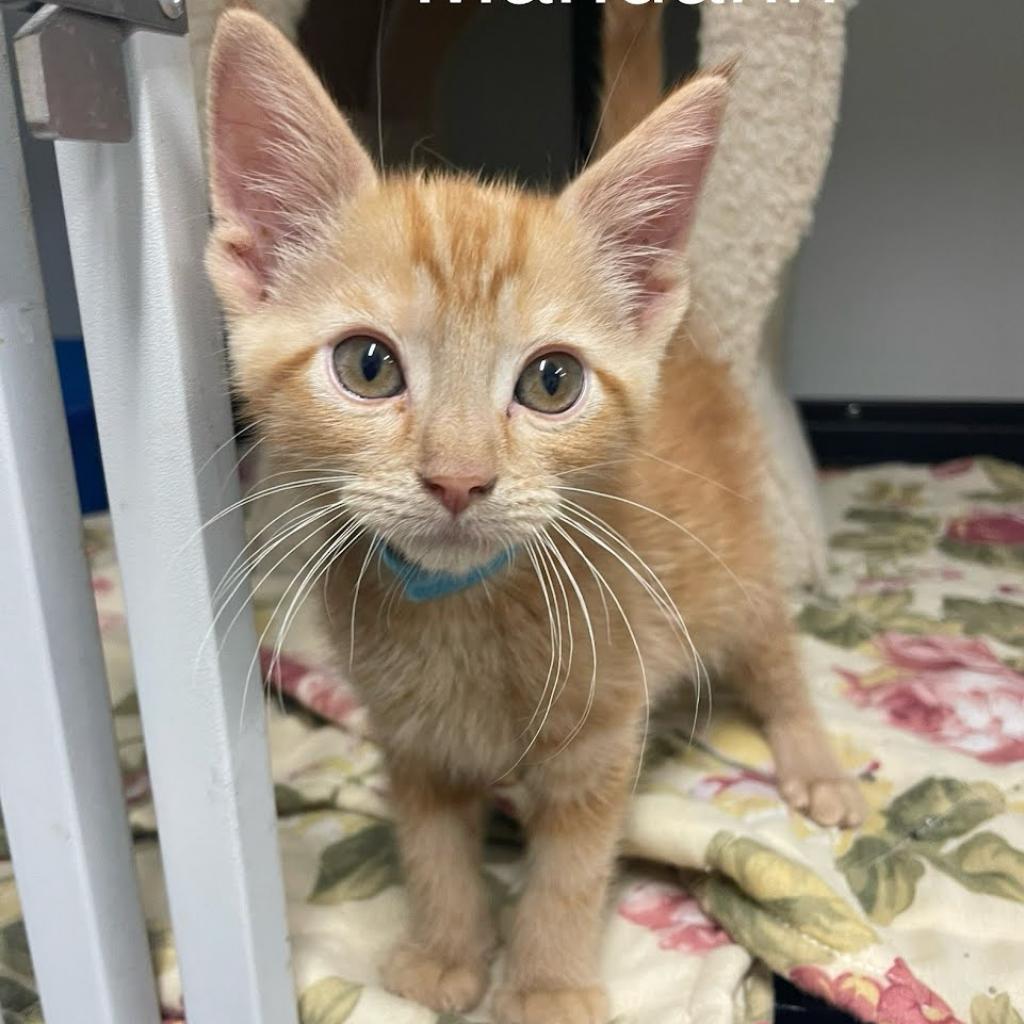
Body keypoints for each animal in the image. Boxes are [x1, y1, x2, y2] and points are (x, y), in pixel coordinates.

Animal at [205, 9, 864, 1024]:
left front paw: (547, 983)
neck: (462, 614)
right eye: (367, 366)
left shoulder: (601, 735)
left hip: (736, 560)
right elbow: (432, 845)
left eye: (552, 382)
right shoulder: (411, 738)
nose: (458, 479)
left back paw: (811, 758)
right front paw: (446, 951)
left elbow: (571, 868)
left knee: (773, 650)